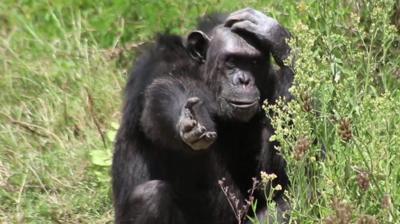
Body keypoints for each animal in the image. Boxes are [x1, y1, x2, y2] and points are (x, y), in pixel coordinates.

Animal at [112, 7, 294, 224]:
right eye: (231, 61)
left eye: (254, 62)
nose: (244, 80)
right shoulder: (162, 65)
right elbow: (164, 91)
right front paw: (189, 120)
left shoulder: (269, 84)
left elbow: (278, 176)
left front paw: (275, 35)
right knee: (150, 198)